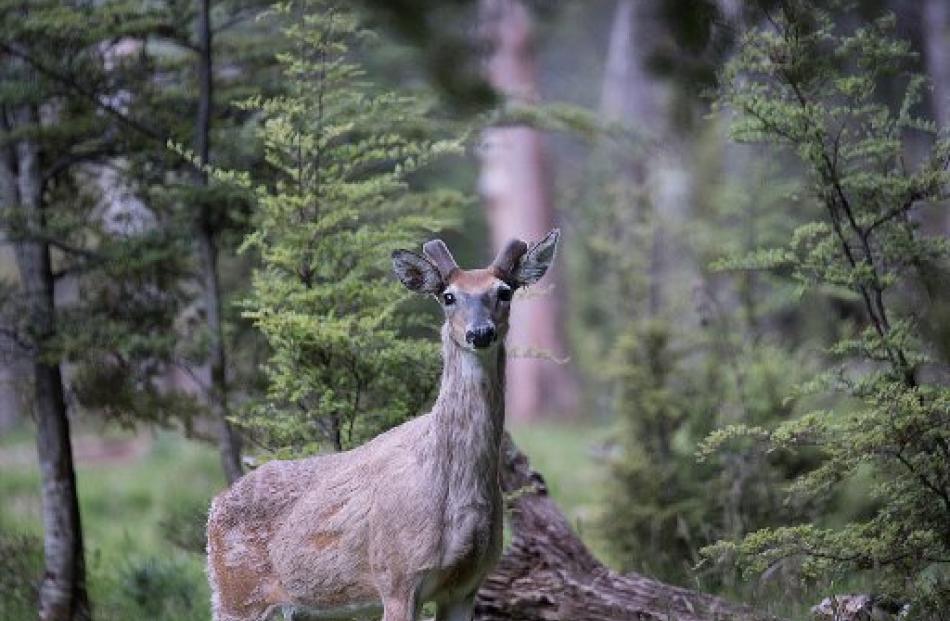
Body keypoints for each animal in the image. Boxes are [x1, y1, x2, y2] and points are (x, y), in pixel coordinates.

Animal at [208, 228, 560, 620]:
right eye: (448, 296)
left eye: (504, 292)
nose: (480, 333)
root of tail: (214, 507)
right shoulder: (396, 575)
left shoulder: (468, 584)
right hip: (236, 597)